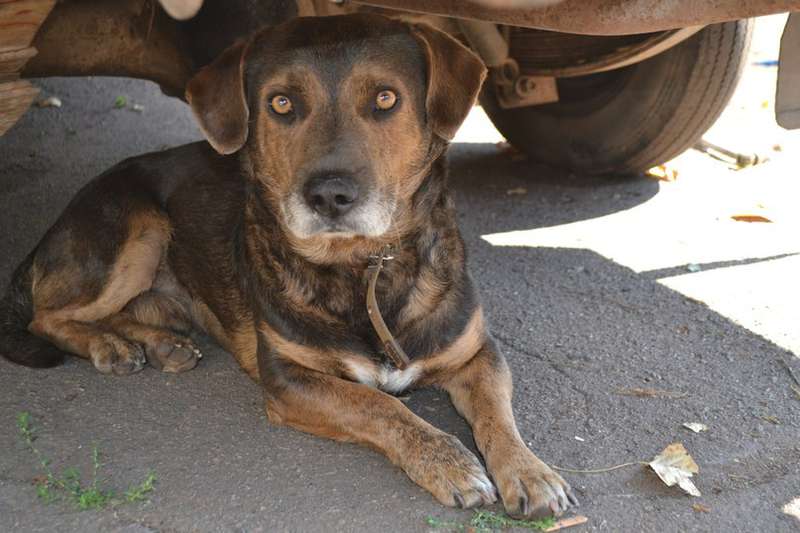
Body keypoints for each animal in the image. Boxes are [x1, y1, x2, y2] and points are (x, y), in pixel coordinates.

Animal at [0, 13, 576, 520]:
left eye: (386, 98)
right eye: (281, 104)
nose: (329, 196)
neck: (364, 270)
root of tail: (58, 221)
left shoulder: (479, 352)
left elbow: (499, 416)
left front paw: (531, 472)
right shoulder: (288, 378)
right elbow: (381, 406)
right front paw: (449, 462)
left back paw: (158, 343)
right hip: (140, 229)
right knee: (47, 317)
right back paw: (110, 345)